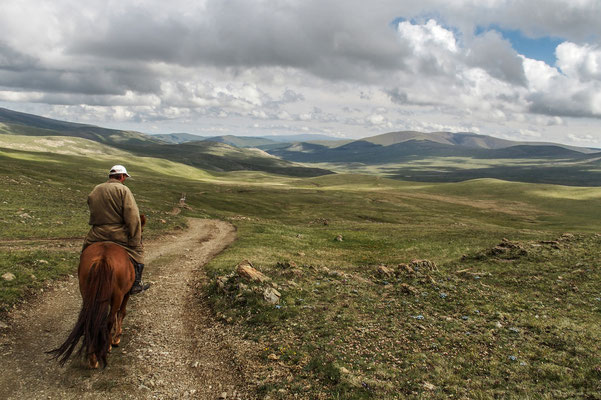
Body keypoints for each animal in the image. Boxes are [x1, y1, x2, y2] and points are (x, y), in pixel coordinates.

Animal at [47, 216, 145, 368]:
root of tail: (102, 258)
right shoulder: (126, 293)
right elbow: (121, 313)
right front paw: (116, 338)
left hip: (87, 293)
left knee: (90, 319)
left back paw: (93, 358)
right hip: (117, 295)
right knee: (109, 318)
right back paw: (106, 347)